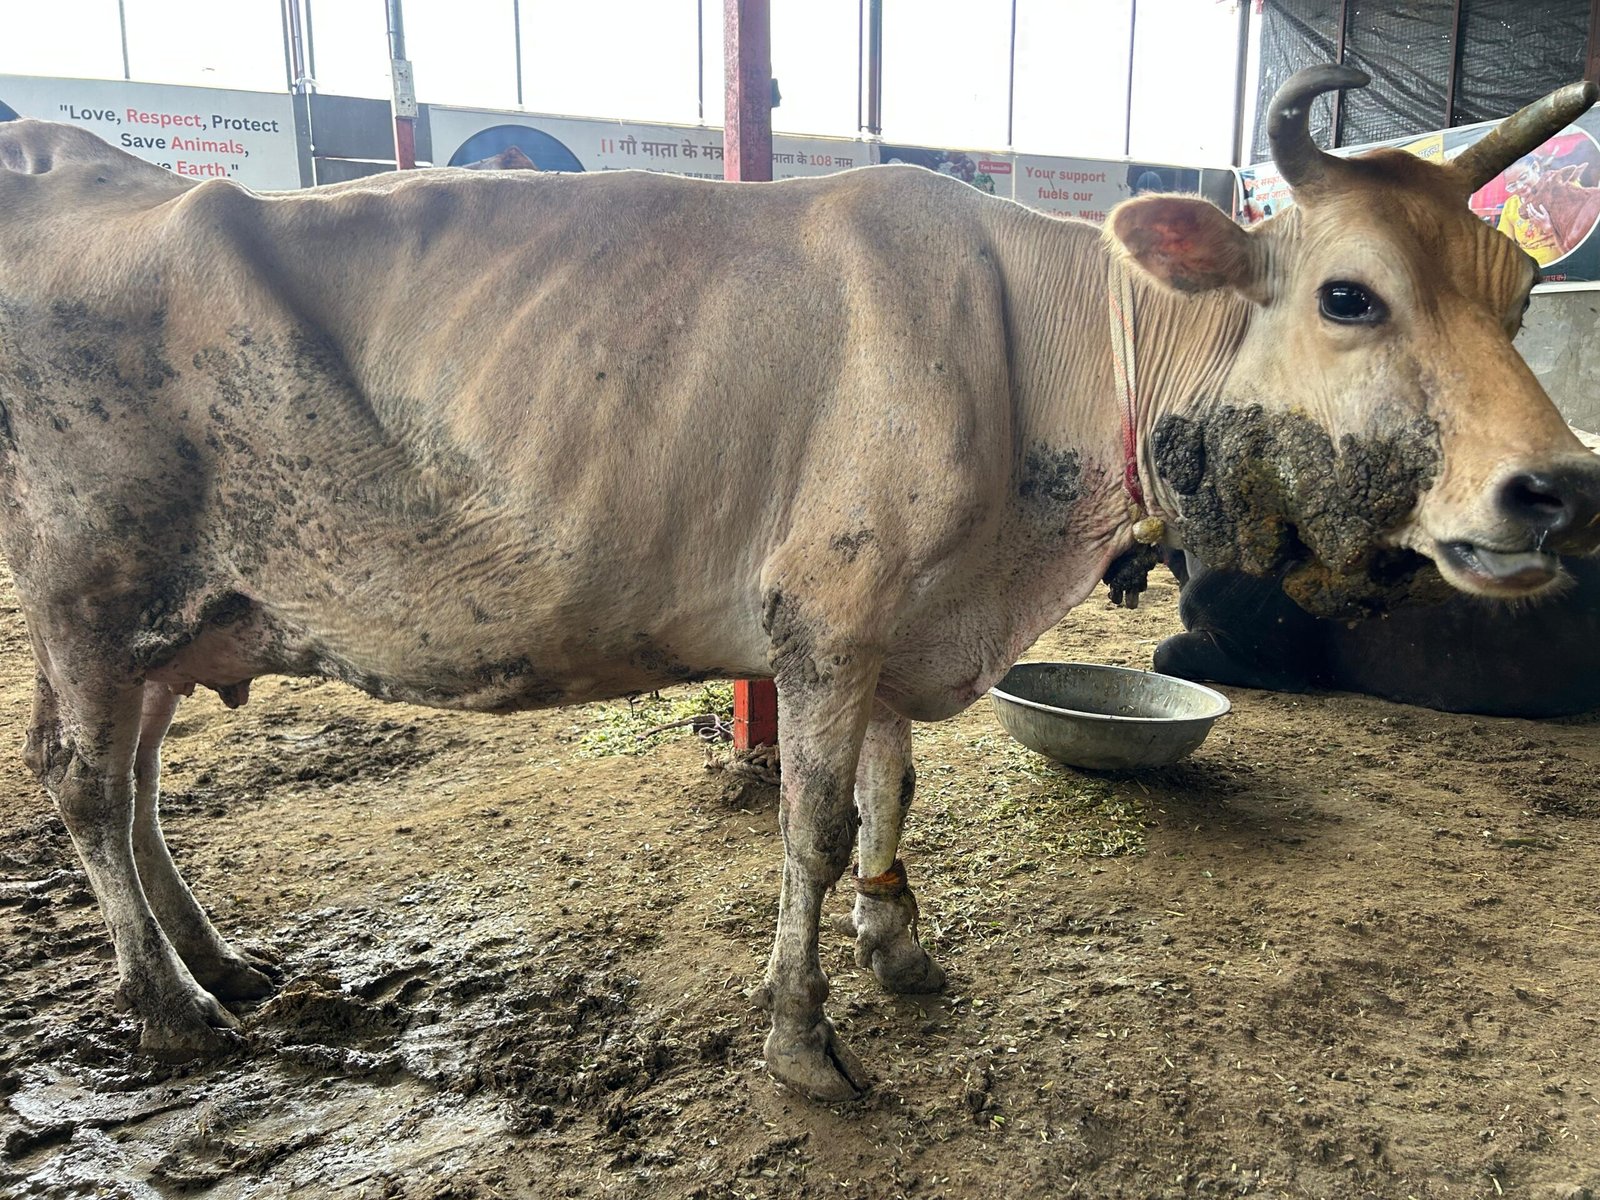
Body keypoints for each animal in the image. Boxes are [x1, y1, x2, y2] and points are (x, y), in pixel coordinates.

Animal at [2, 65, 1599, 1102]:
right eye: (1347, 295)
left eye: (1522, 297)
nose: (1559, 486)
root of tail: (80, 159)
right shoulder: (826, 617)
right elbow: (814, 829)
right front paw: (804, 1040)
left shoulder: (906, 616)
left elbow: (898, 791)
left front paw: (901, 950)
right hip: (91, 585)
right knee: (82, 780)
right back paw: (171, 1010)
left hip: (180, 614)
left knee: (134, 780)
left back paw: (220, 964)